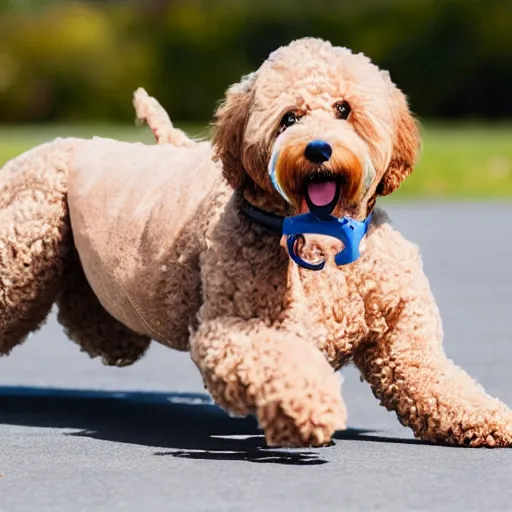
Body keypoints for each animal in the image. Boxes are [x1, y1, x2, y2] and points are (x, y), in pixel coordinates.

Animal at [1, 38, 512, 446]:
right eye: (289, 118)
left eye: (343, 109)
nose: (318, 149)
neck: (322, 235)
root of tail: (61, 142)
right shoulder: (231, 329)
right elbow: (279, 364)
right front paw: (309, 409)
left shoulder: (402, 339)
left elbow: (437, 379)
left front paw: (489, 418)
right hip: (23, 252)